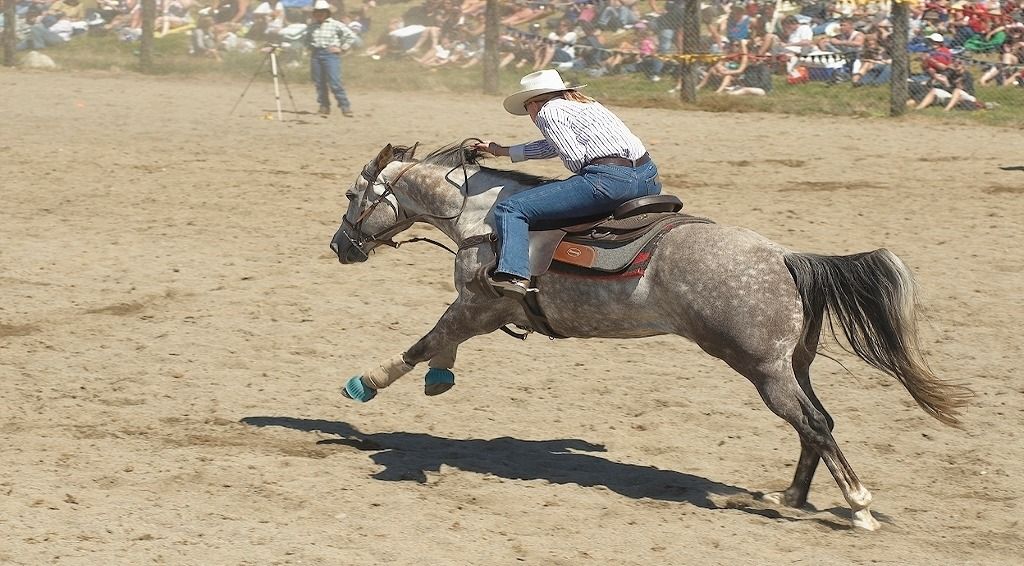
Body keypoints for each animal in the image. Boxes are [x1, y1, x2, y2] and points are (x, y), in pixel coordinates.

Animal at [329, 141, 966, 528]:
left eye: (353, 196)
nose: (340, 246)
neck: (482, 217)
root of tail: (785, 257)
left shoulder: (482, 302)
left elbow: (426, 340)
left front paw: (366, 383)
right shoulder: (482, 307)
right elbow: (441, 341)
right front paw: (439, 378)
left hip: (762, 369)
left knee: (813, 424)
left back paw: (857, 506)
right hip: (792, 365)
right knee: (817, 423)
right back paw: (786, 498)